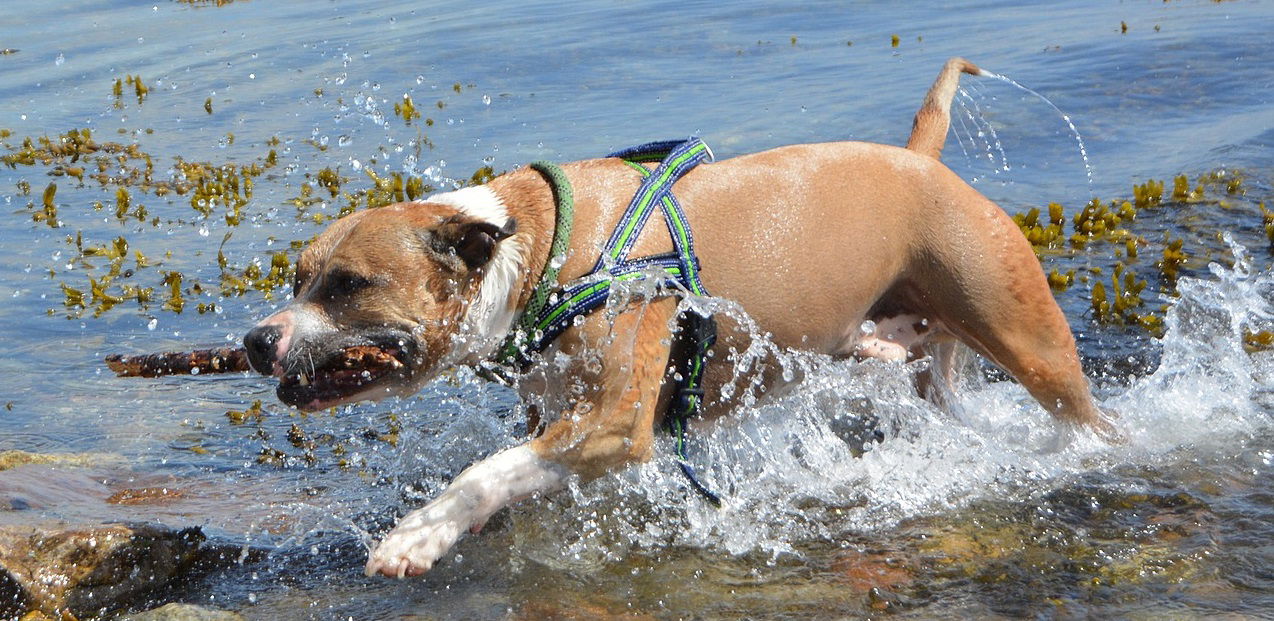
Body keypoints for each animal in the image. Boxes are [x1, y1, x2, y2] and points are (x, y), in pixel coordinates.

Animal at [243, 58, 1121, 578]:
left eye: (349, 284)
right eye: (298, 278)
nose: (256, 339)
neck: (533, 254)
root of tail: (924, 163)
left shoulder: (613, 419)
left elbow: (480, 472)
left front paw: (415, 534)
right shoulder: (559, 416)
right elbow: (513, 470)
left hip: (1028, 339)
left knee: (1089, 417)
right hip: (922, 363)